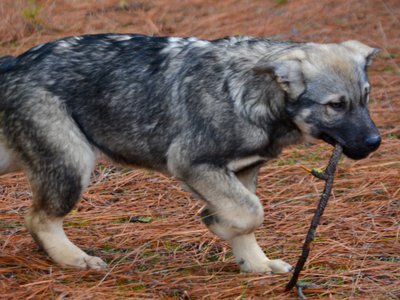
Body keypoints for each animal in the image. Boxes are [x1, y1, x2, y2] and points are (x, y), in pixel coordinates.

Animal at [0, 34, 380, 274]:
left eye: (365, 98)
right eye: (336, 106)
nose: (375, 142)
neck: (248, 92)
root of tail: (14, 63)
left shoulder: (244, 172)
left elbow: (249, 217)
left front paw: (255, 264)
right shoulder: (193, 164)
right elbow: (250, 213)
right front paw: (218, 223)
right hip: (74, 164)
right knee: (38, 219)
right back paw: (73, 259)